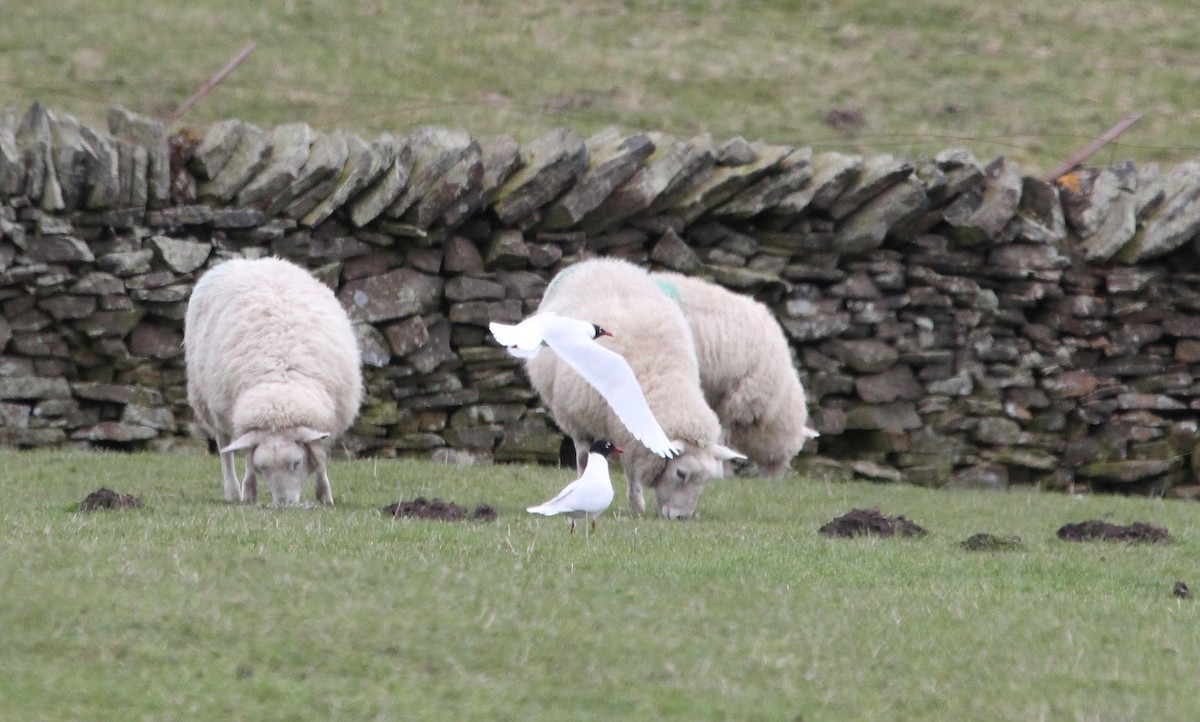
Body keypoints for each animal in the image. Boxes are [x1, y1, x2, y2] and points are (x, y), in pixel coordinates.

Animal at [182, 255, 360, 503]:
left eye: (296, 463)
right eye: (263, 468)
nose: (284, 504)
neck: (280, 389)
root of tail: (249, 260)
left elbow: (320, 456)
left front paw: (324, 495)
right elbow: (248, 460)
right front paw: (249, 492)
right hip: (210, 402)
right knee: (224, 447)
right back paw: (233, 491)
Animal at [523, 255, 739, 513]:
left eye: (706, 481)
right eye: (681, 473)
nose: (681, 517)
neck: (657, 374)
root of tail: (600, 261)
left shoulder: (629, 432)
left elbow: (631, 466)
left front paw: (636, 506)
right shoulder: (581, 420)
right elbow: (586, 457)